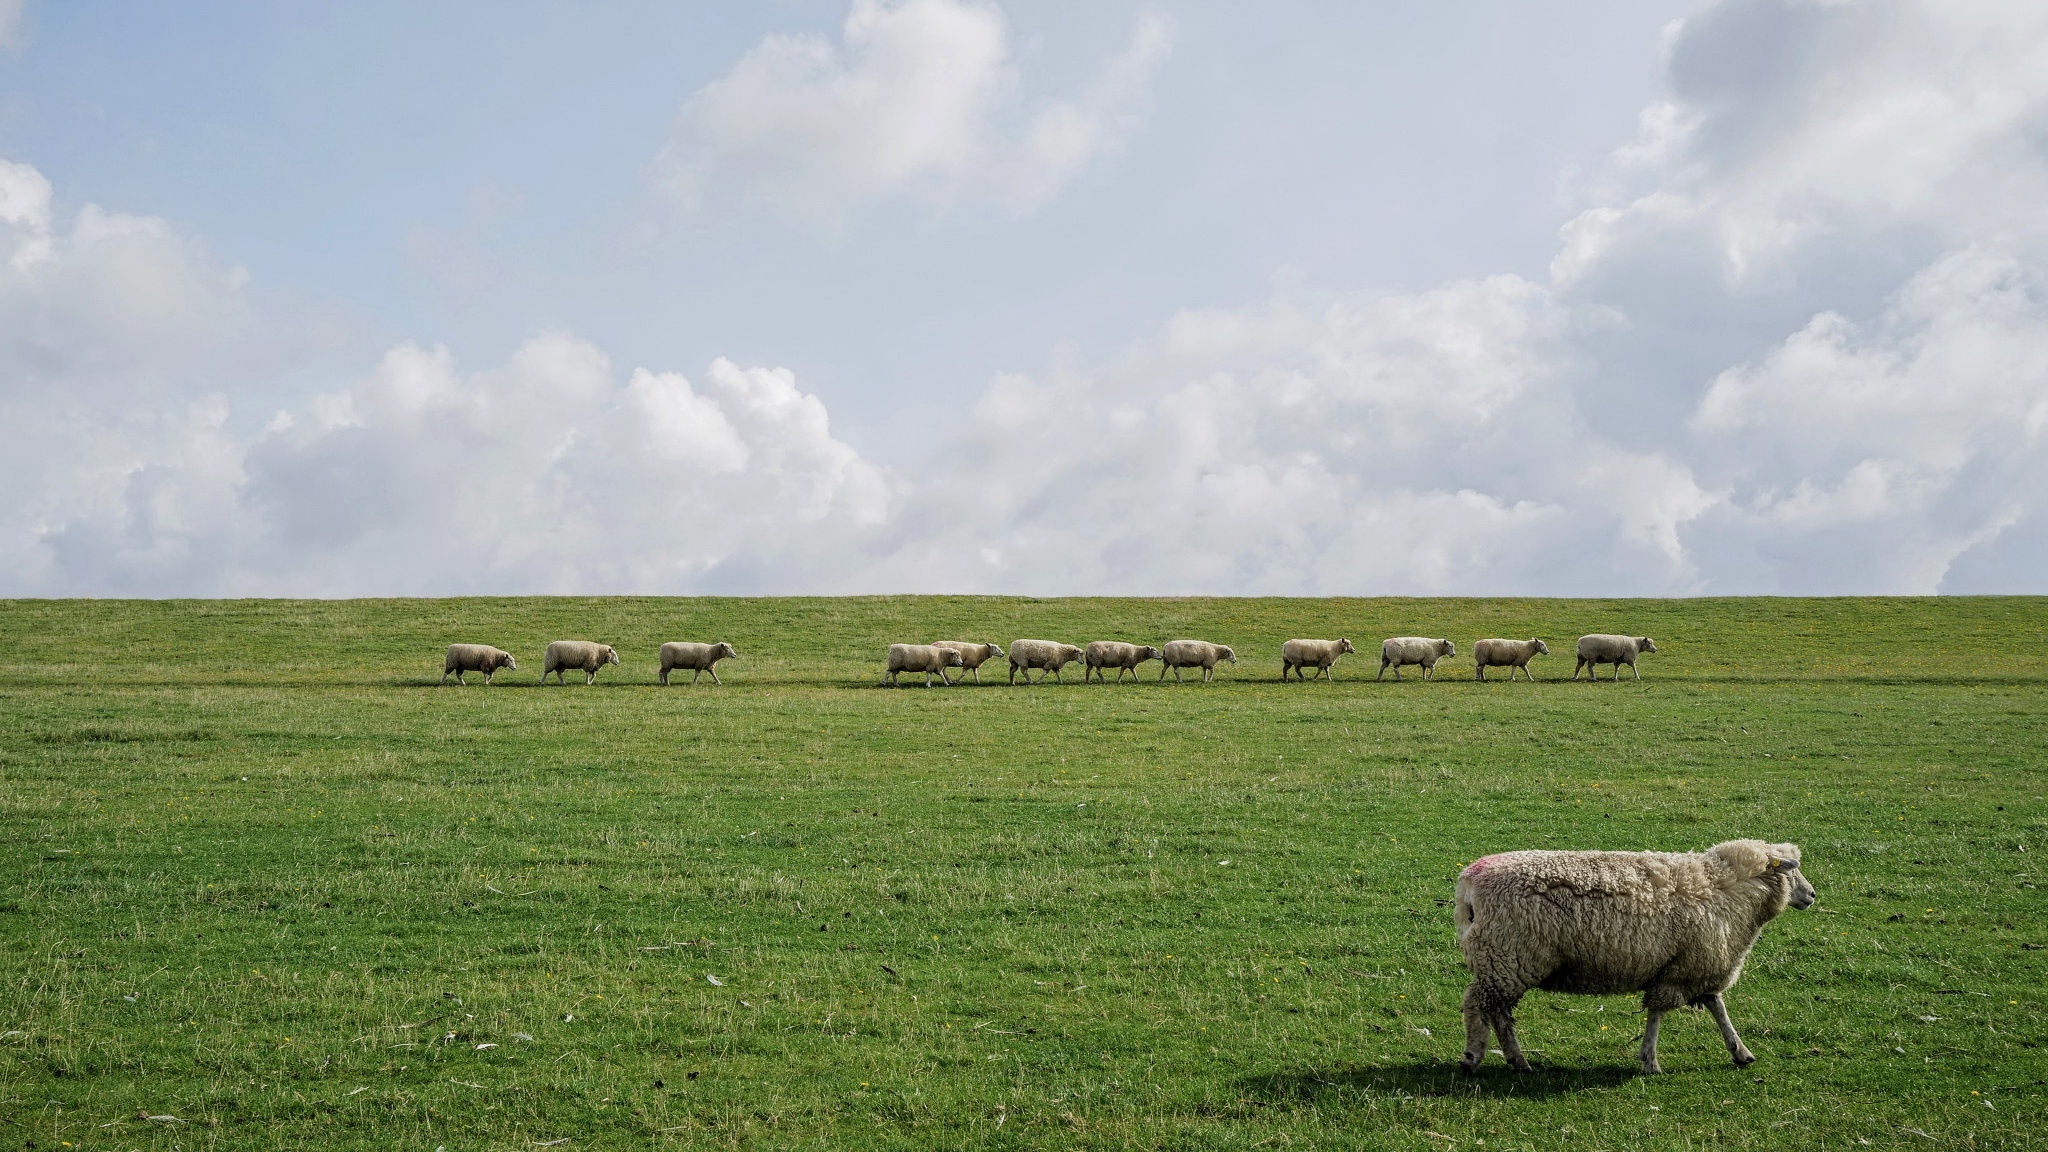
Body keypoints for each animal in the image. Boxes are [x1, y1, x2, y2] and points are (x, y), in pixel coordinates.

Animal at [1454, 839, 1815, 1075]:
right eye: (1791, 872)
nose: (1812, 895)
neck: (1725, 888)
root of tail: (1471, 880)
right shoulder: (1683, 969)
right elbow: (1659, 1011)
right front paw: (1650, 1060)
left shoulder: (1698, 966)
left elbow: (1717, 1007)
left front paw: (1740, 1051)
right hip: (1505, 957)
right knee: (1477, 1003)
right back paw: (1474, 1056)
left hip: (1501, 961)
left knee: (1497, 1012)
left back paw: (1517, 1061)